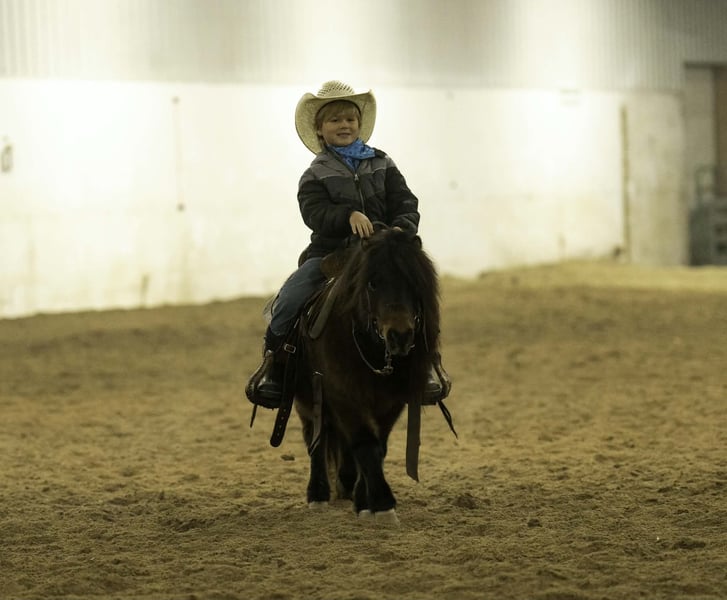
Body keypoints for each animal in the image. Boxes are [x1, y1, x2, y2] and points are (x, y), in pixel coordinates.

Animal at [292, 226, 450, 524]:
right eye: (373, 283)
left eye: (414, 283)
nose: (400, 336)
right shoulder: (343, 395)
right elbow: (365, 444)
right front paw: (383, 506)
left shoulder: (392, 401)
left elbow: (379, 446)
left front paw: (364, 502)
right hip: (307, 400)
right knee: (315, 438)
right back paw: (317, 495)